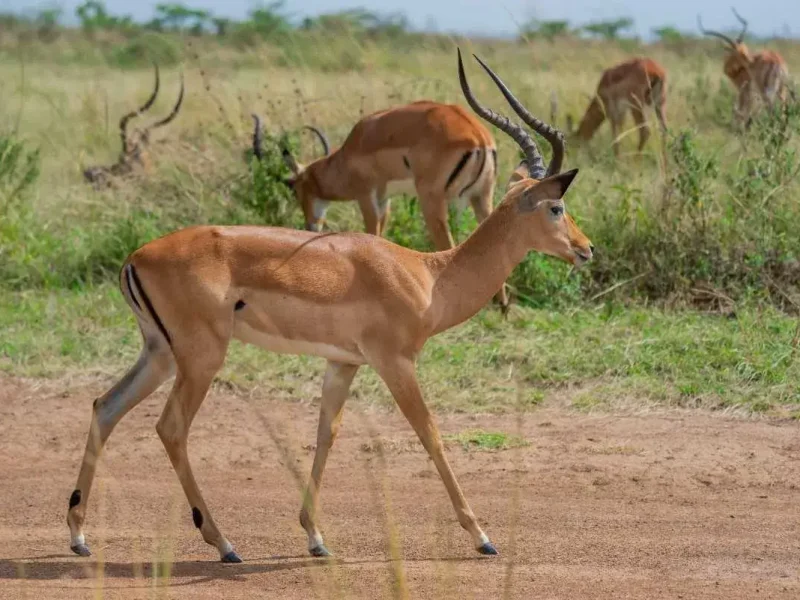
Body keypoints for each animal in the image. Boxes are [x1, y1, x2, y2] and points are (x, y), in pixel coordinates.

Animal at [65, 49, 593, 563]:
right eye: (556, 208)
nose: (586, 249)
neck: (428, 275)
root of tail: (135, 258)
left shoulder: (343, 363)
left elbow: (326, 433)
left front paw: (316, 537)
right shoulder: (395, 362)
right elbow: (430, 432)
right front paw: (482, 536)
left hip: (160, 353)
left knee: (105, 406)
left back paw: (79, 536)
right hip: (201, 357)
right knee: (170, 427)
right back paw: (225, 544)